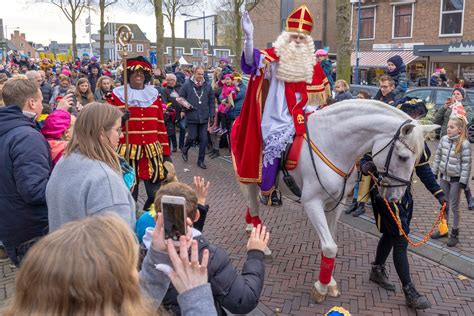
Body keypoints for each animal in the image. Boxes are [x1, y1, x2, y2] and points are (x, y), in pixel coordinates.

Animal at [235, 100, 438, 302]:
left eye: (420, 159)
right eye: (403, 157)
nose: (396, 197)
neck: (332, 145)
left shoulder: (336, 204)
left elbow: (331, 241)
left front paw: (329, 283)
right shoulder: (312, 203)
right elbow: (330, 246)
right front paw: (321, 288)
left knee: (251, 206)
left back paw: (250, 227)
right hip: (248, 179)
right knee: (253, 206)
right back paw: (262, 244)